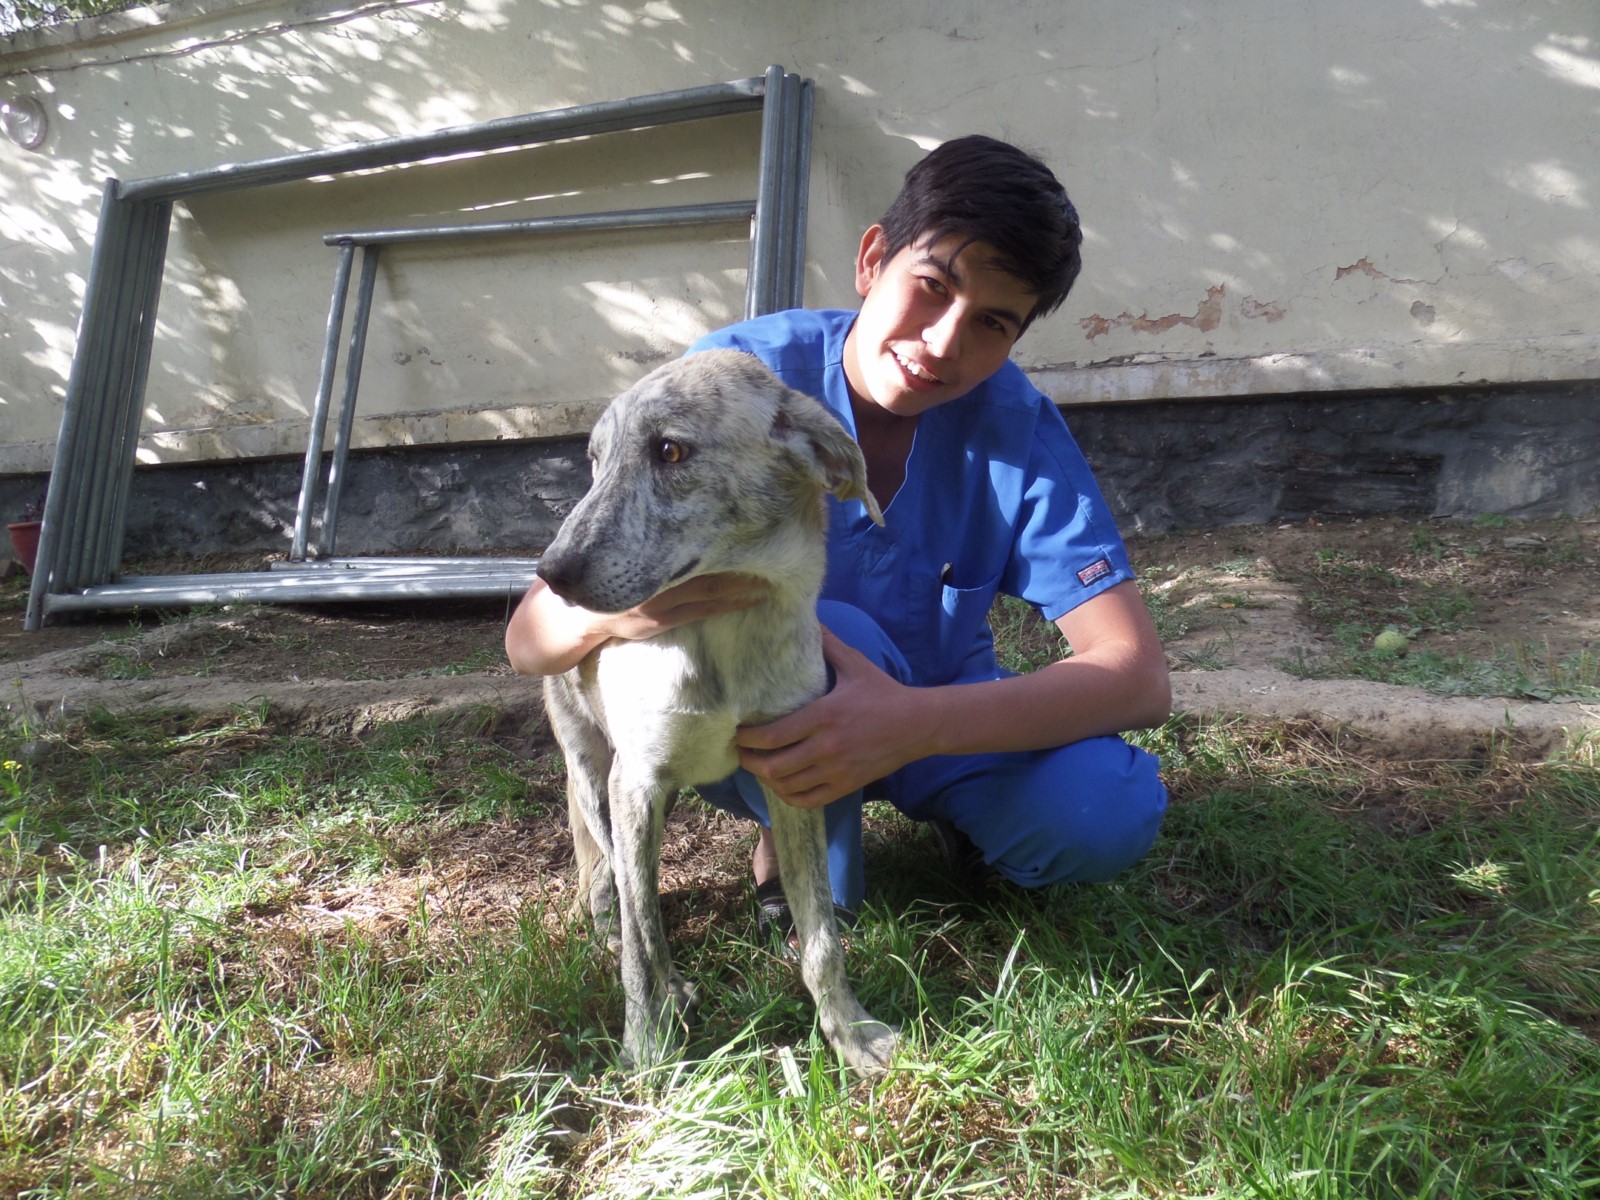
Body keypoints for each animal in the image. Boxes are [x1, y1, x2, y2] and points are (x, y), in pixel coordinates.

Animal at [540, 347, 902, 1081]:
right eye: (594, 459)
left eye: (670, 450)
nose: (550, 574)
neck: (722, 632)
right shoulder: (635, 782)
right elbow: (642, 945)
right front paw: (648, 1048)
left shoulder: (794, 772)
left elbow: (821, 938)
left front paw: (851, 1034)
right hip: (592, 768)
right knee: (614, 881)